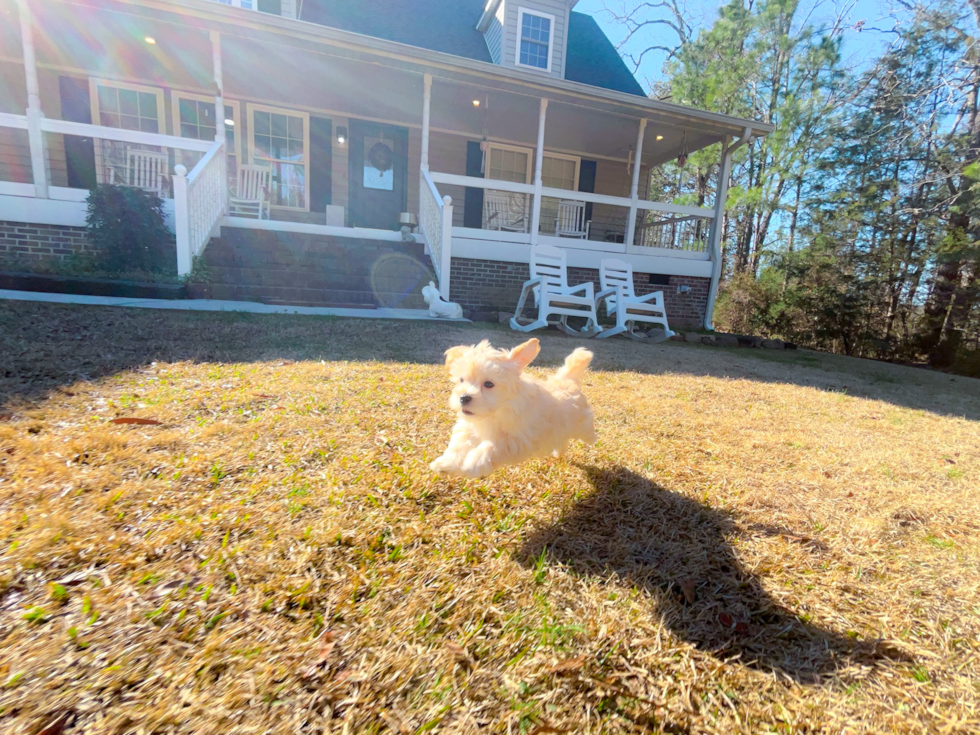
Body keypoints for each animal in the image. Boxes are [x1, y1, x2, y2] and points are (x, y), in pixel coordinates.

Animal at [430, 338, 596, 480]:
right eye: (461, 380)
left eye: (489, 384)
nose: (464, 398)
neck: (497, 411)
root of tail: (566, 380)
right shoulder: (470, 427)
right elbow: (460, 443)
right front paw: (446, 463)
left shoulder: (517, 439)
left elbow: (494, 445)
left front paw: (473, 463)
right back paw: (558, 452)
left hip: (582, 425)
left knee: (587, 432)